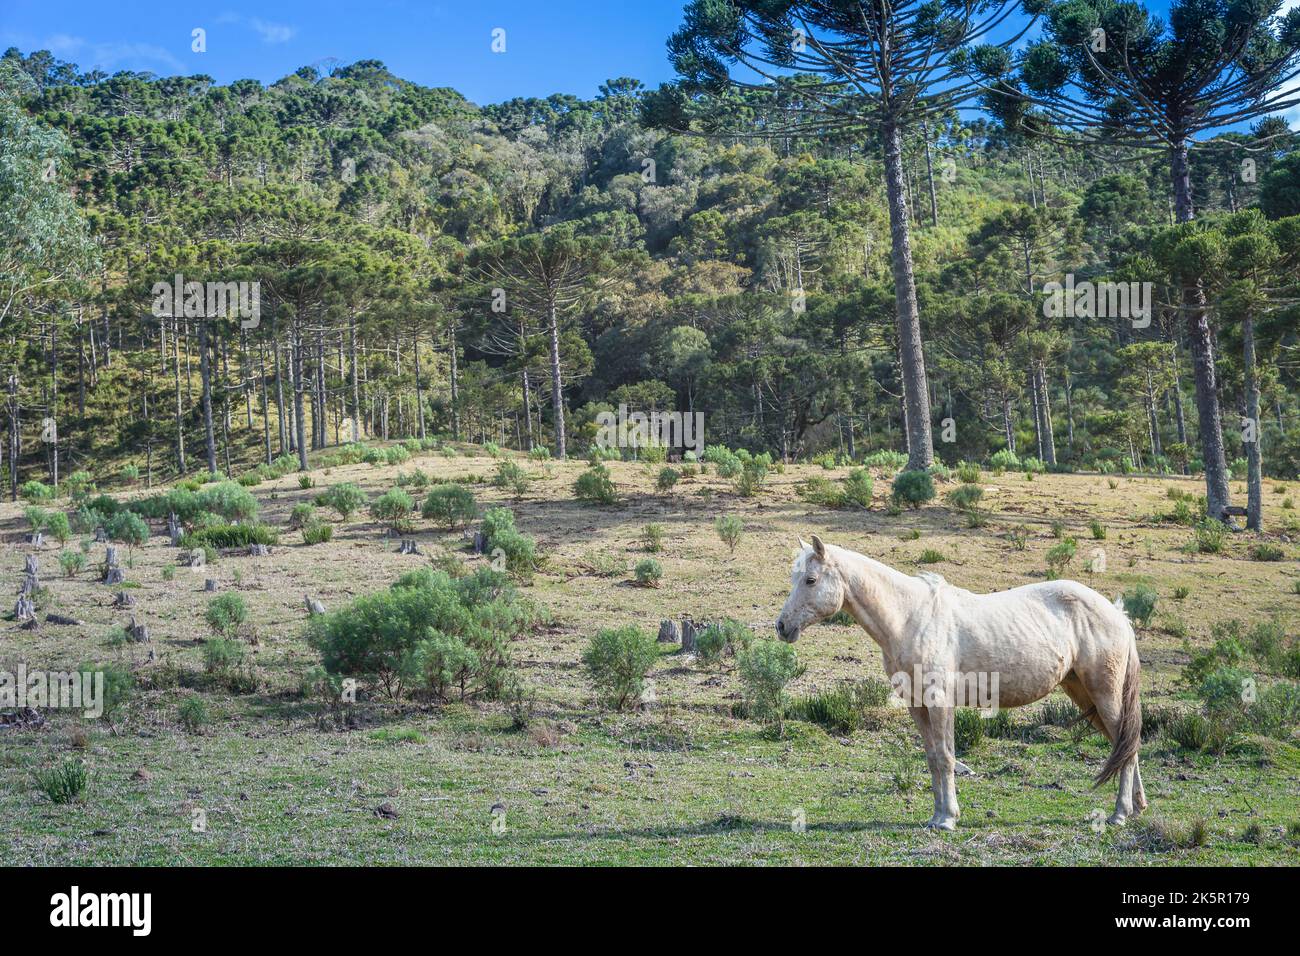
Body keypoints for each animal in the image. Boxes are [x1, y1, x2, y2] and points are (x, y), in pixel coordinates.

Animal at [774, 535, 1144, 832]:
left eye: (810, 579)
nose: (782, 626)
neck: (911, 618)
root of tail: (1116, 613)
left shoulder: (940, 702)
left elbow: (945, 757)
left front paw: (947, 819)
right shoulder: (917, 705)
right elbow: (932, 757)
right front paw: (937, 815)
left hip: (1105, 695)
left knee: (1126, 745)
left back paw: (1119, 814)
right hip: (1084, 695)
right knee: (1125, 745)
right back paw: (1137, 806)